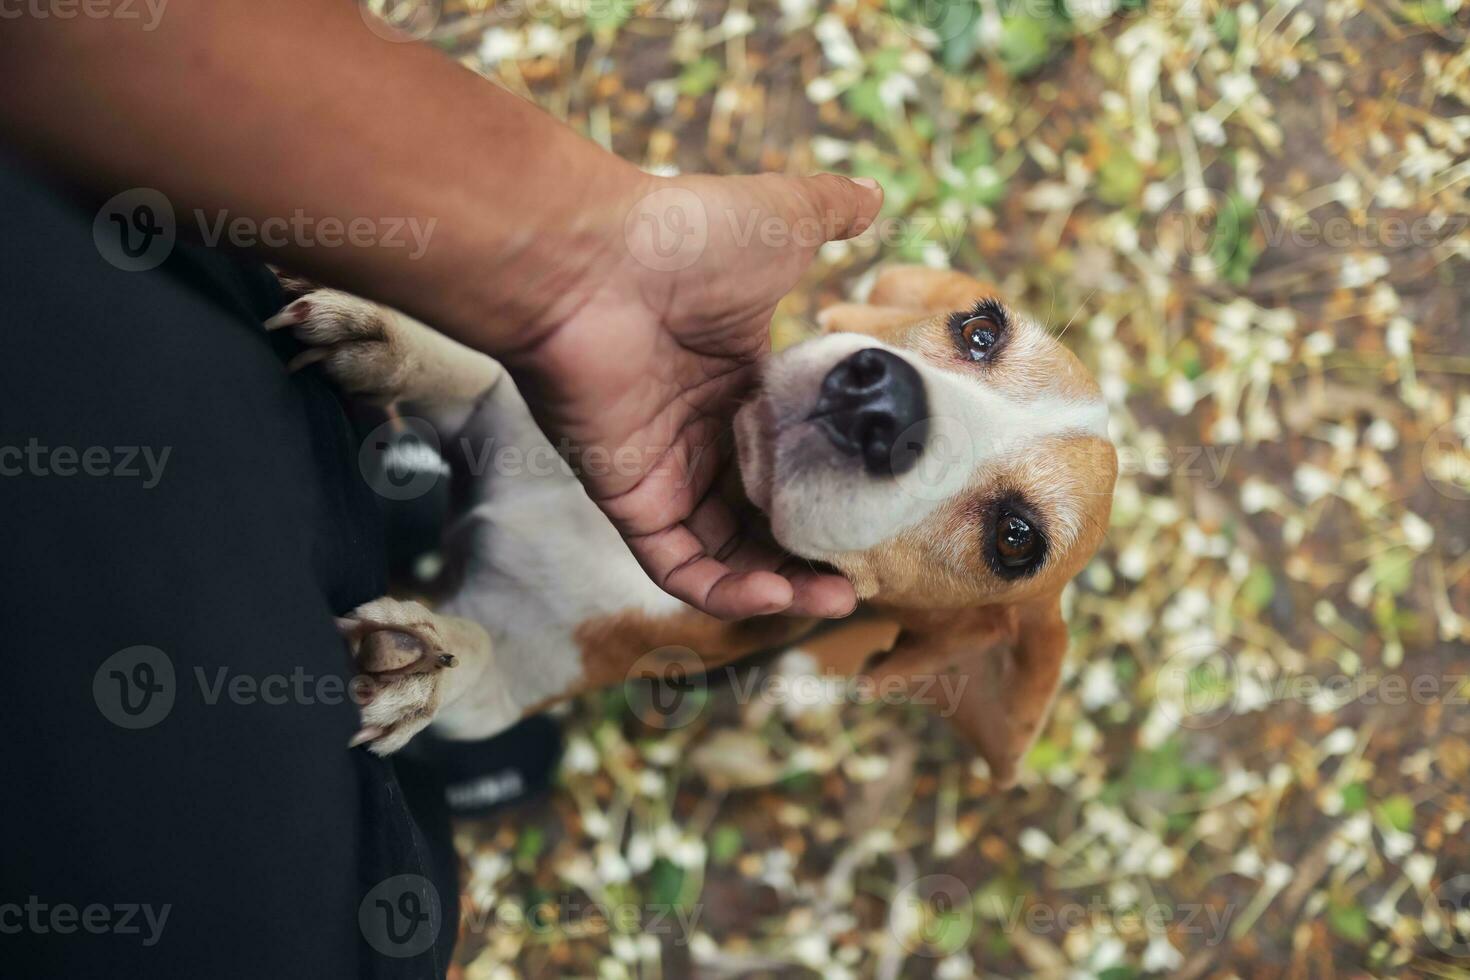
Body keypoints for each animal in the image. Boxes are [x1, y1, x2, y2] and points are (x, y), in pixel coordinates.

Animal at [267, 264, 1111, 787]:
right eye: (981, 331)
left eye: (1014, 539)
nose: (884, 401)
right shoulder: (501, 411)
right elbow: (463, 373)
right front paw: (381, 336)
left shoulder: (519, 689)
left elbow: (475, 664)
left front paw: (424, 662)